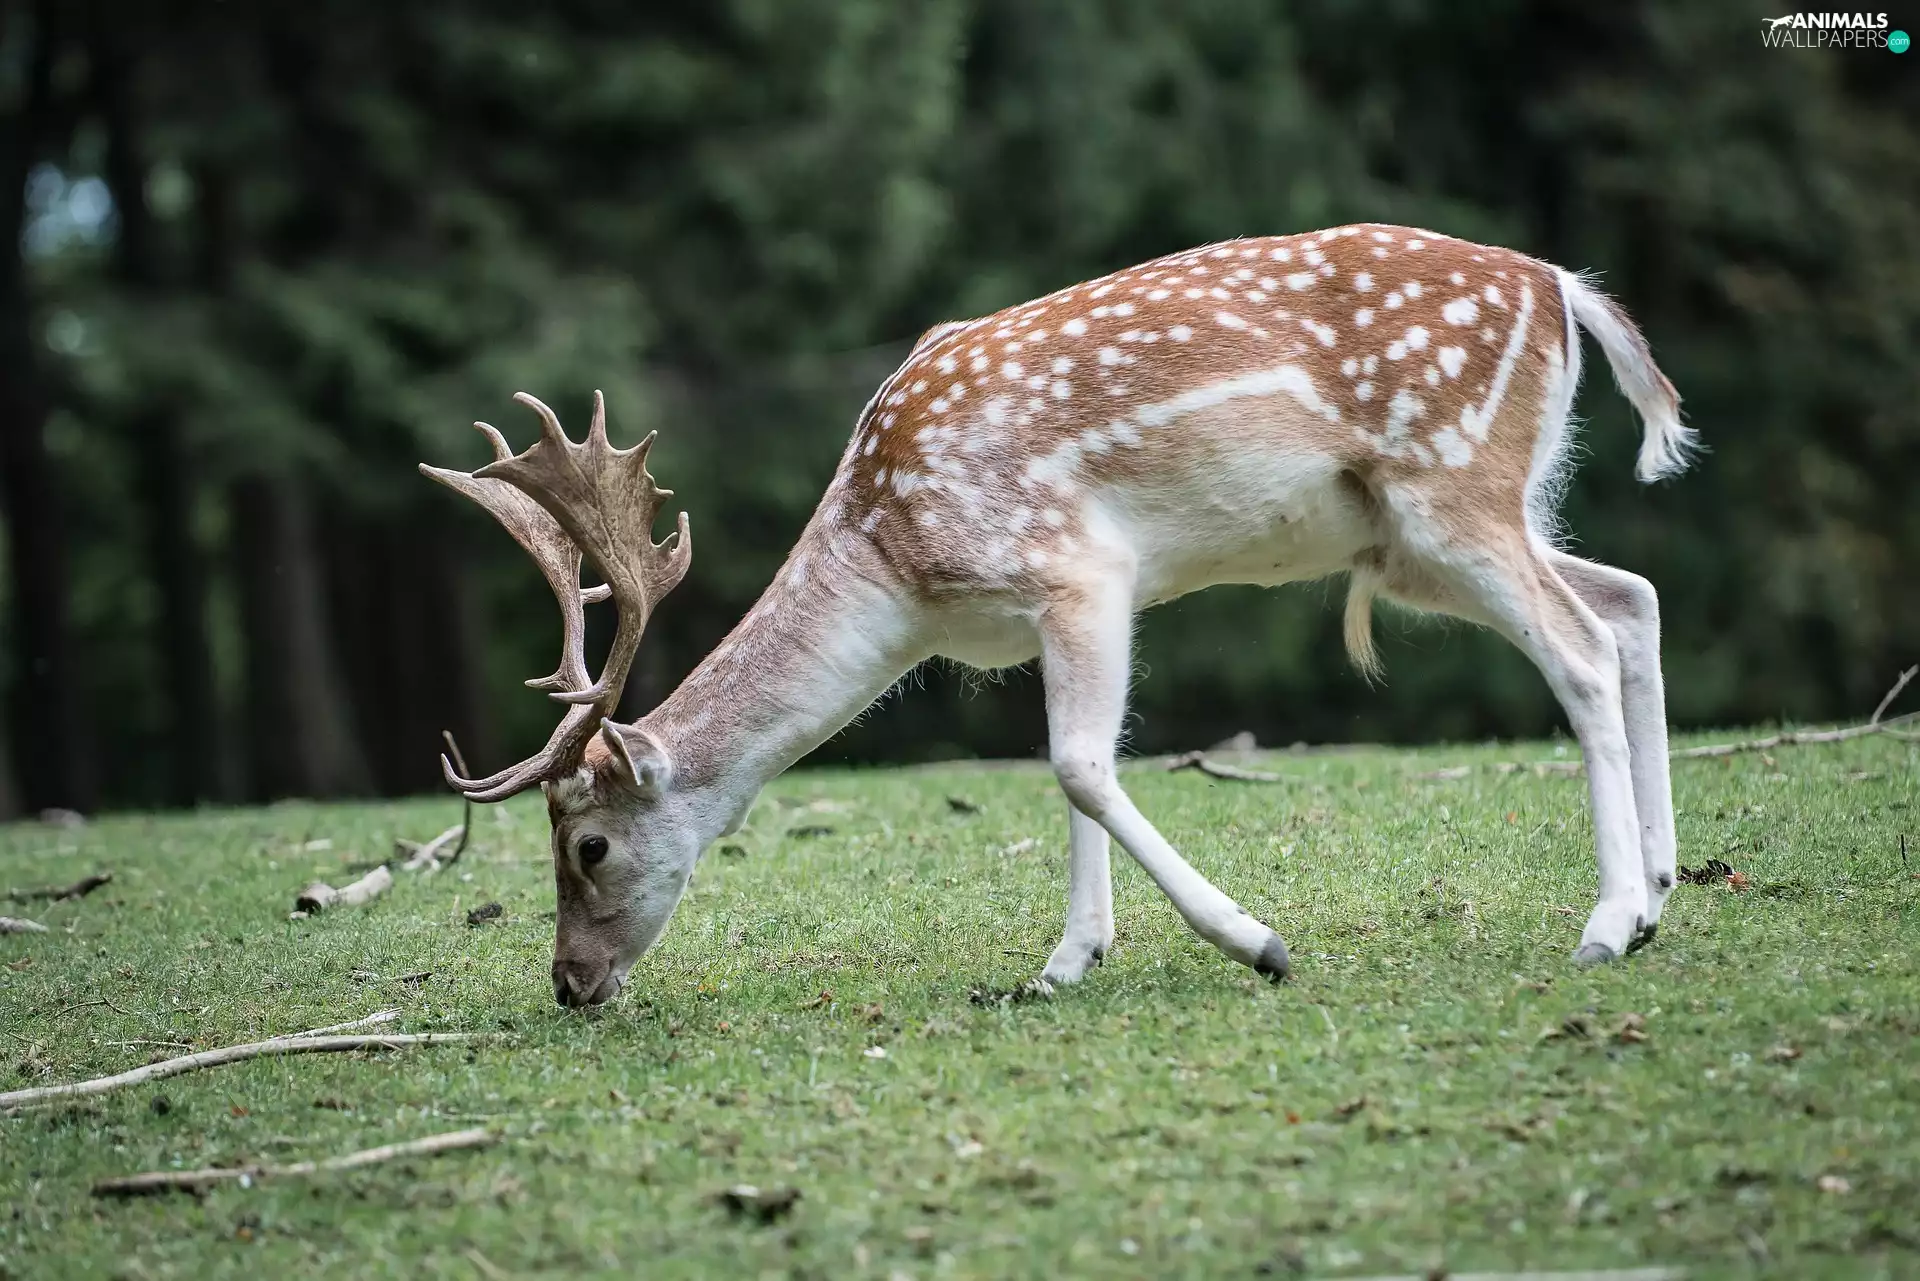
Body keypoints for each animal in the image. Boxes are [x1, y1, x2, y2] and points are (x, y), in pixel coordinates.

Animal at [421, 223, 1695, 1008]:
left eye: (587, 845)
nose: (569, 984)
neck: (897, 566)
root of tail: (1565, 290)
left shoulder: (1079, 566)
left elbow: (1082, 765)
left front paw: (1258, 944)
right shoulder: (1046, 609)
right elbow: (1066, 769)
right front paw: (1066, 963)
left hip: (1451, 483)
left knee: (1580, 646)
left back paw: (1605, 920)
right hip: (1431, 534)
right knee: (1631, 598)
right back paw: (1661, 889)